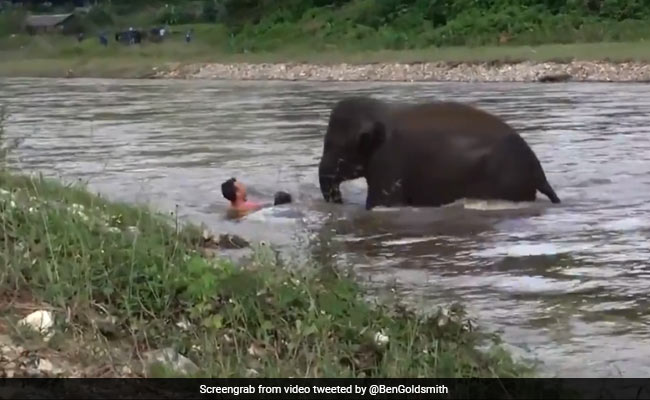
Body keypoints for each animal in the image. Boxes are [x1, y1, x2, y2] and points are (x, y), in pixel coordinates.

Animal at [318, 96, 561, 210]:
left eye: (332, 146)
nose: (340, 202)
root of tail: (539, 172)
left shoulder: (388, 162)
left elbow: (381, 203)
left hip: (506, 182)